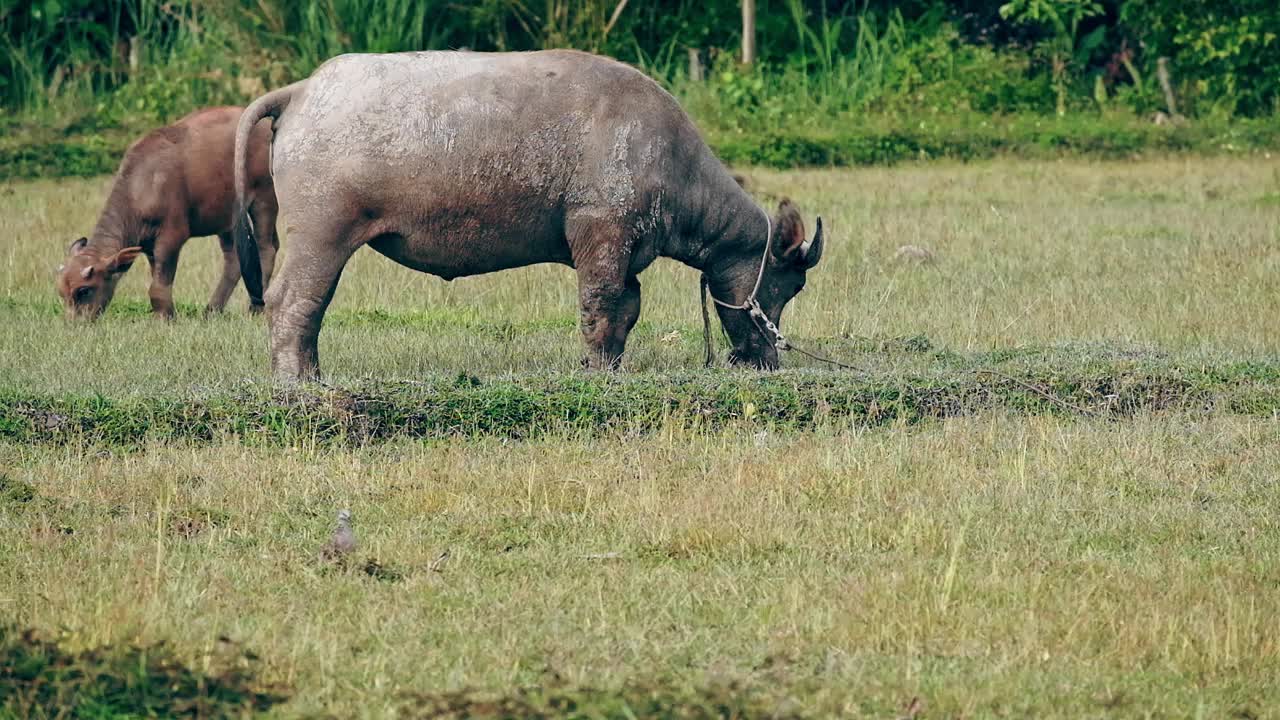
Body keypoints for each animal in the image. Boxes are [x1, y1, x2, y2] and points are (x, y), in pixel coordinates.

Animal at [56, 105, 277, 317]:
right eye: (62, 293)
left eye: (84, 290)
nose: (76, 323)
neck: (142, 186)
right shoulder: (148, 246)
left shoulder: (172, 236)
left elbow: (159, 286)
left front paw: (165, 318)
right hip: (227, 216)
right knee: (234, 260)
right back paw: (211, 310)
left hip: (264, 198)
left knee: (267, 247)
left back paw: (256, 308)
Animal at [235, 48, 824, 379]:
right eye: (789, 284)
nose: (769, 357)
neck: (668, 157)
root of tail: (304, 90)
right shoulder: (601, 237)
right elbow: (600, 307)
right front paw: (596, 371)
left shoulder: (627, 255)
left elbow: (626, 311)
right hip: (321, 235)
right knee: (293, 300)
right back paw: (300, 381)